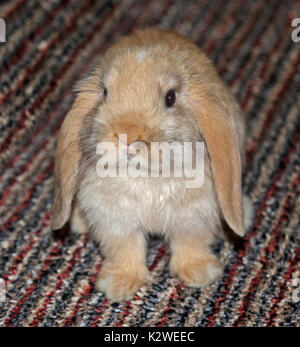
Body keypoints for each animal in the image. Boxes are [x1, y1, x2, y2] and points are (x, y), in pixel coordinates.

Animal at [51, 28, 253, 304]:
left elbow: (191, 243)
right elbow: (125, 249)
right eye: (105, 92)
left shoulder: (193, 215)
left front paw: (200, 274)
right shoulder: (116, 221)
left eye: (170, 97)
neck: (146, 176)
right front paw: (119, 286)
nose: (127, 134)